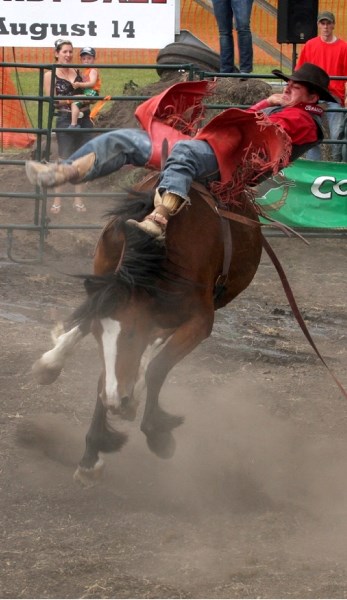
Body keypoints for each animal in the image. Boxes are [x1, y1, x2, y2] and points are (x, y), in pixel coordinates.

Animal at [32, 175, 262, 482]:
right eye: (98, 336)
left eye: (131, 333)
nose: (117, 401)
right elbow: (105, 371)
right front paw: (93, 453)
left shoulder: (199, 322)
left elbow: (156, 368)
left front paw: (157, 435)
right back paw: (52, 363)